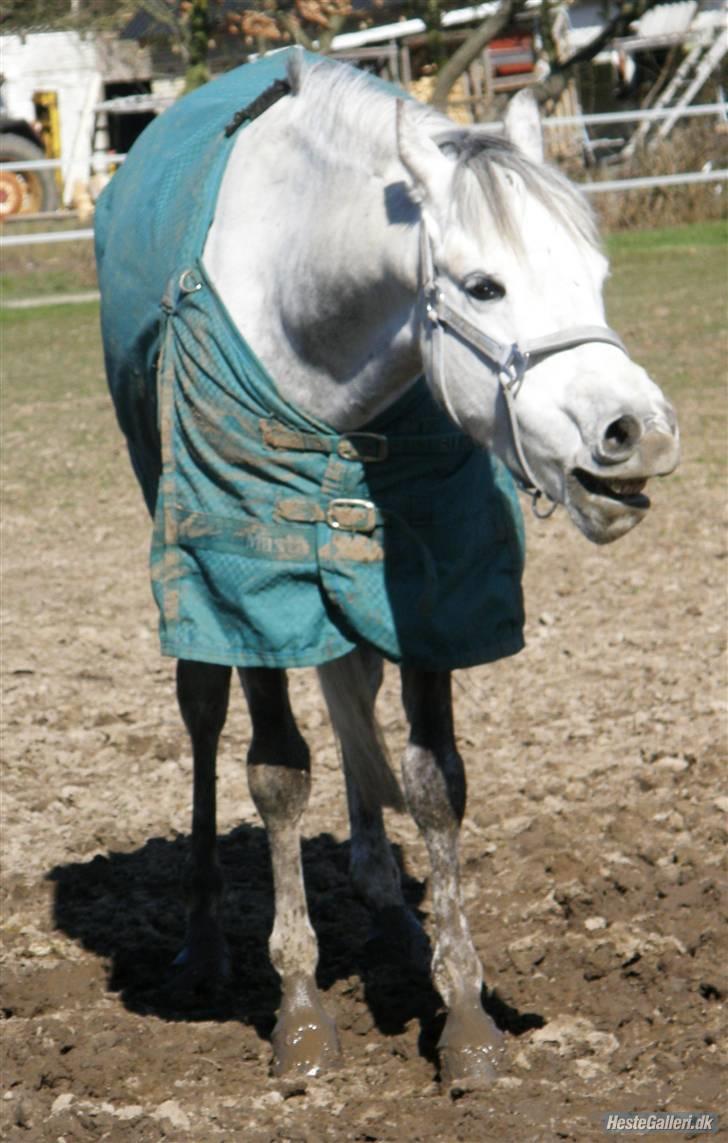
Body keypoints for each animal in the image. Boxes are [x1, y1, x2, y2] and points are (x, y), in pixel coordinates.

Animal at [96, 49, 676, 1088]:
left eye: (598, 275)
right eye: (483, 286)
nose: (634, 431)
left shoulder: (429, 577)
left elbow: (433, 776)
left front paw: (465, 1014)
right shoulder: (249, 580)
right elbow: (277, 773)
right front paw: (298, 1012)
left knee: (352, 692)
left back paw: (390, 906)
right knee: (204, 714)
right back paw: (204, 940)